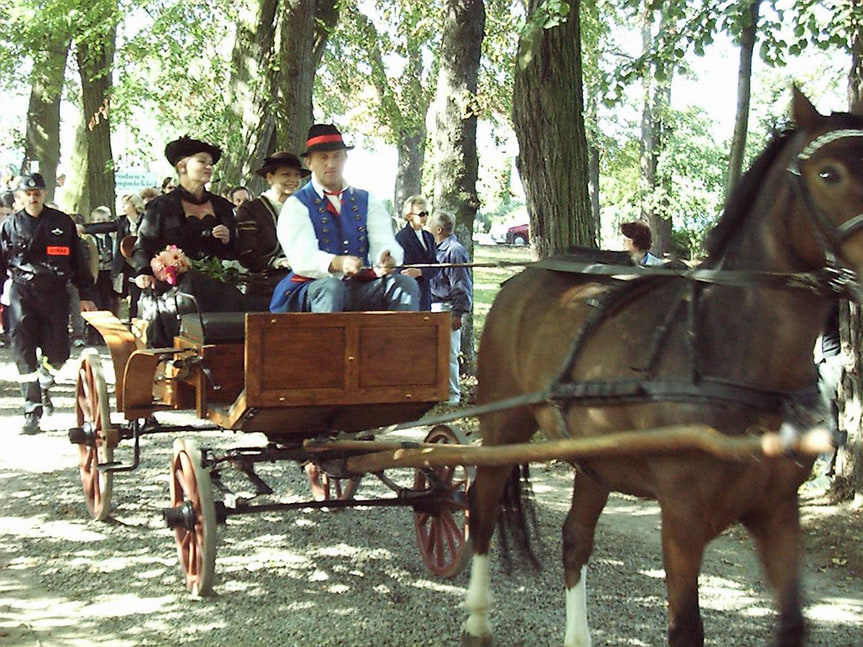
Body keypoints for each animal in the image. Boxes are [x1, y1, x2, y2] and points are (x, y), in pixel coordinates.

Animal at [462, 87, 863, 647]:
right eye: (829, 173)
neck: (730, 350)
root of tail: (524, 278)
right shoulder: (682, 517)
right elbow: (685, 627)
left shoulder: (778, 510)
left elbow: (792, 623)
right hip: (503, 425)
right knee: (481, 506)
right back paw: (476, 617)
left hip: (595, 458)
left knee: (574, 540)